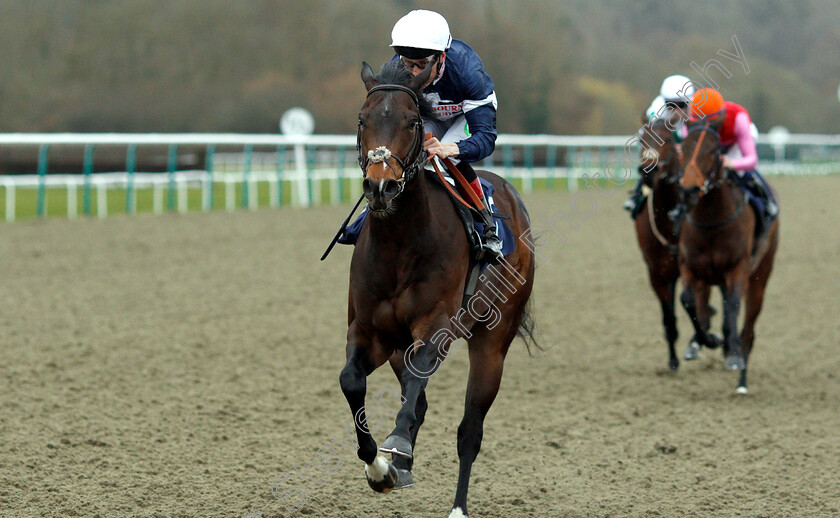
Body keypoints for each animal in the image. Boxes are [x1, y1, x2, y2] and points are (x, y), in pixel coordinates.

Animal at [338, 58, 536, 518]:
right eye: (362, 119)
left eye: (412, 122)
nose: (380, 186)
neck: (399, 246)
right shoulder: (370, 332)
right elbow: (352, 381)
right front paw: (381, 467)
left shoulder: (436, 327)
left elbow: (418, 381)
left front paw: (394, 445)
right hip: (397, 345)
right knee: (419, 399)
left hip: (491, 344)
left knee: (470, 430)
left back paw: (458, 507)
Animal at [676, 122, 780, 396]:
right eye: (683, 148)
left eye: (713, 151)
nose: (689, 190)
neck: (711, 221)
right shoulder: (691, 268)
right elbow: (689, 302)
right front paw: (708, 340)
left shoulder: (737, 268)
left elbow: (732, 306)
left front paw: (732, 355)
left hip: (759, 276)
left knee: (748, 331)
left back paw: (741, 380)